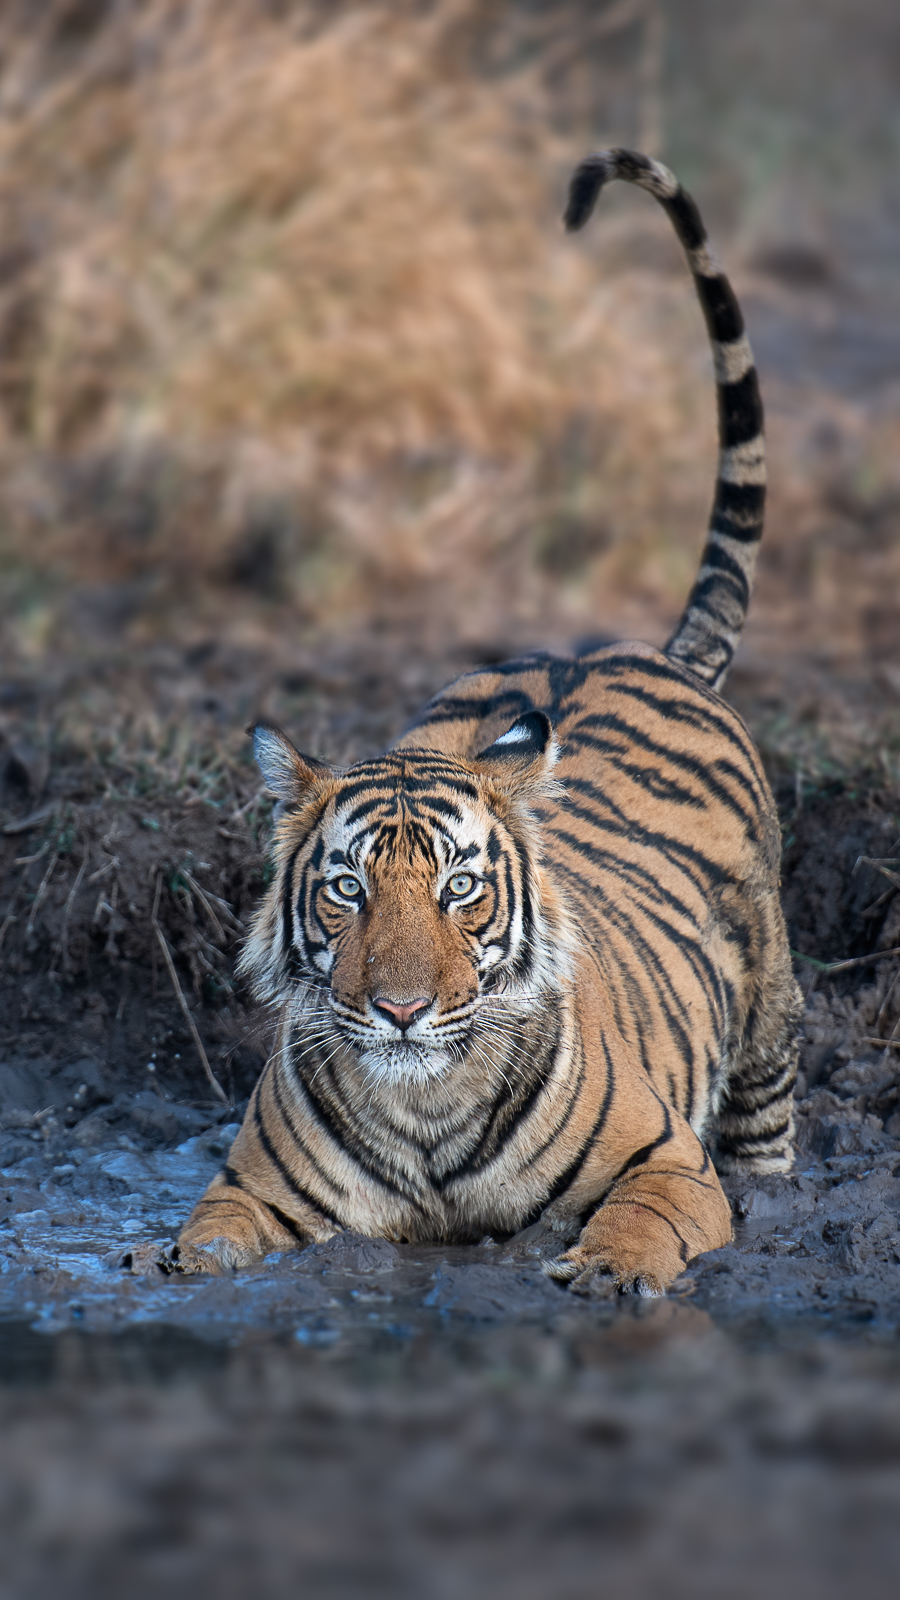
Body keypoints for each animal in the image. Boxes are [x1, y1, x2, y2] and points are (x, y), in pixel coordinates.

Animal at [174, 148, 802, 1296]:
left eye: (461, 889)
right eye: (347, 889)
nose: (402, 1011)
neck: (425, 1101)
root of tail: (642, 647)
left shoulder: (668, 1159)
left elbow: (643, 1220)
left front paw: (607, 1274)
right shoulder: (249, 1187)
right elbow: (205, 1237)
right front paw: (174, 1271)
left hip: (769, 1021)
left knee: (766, 1130)